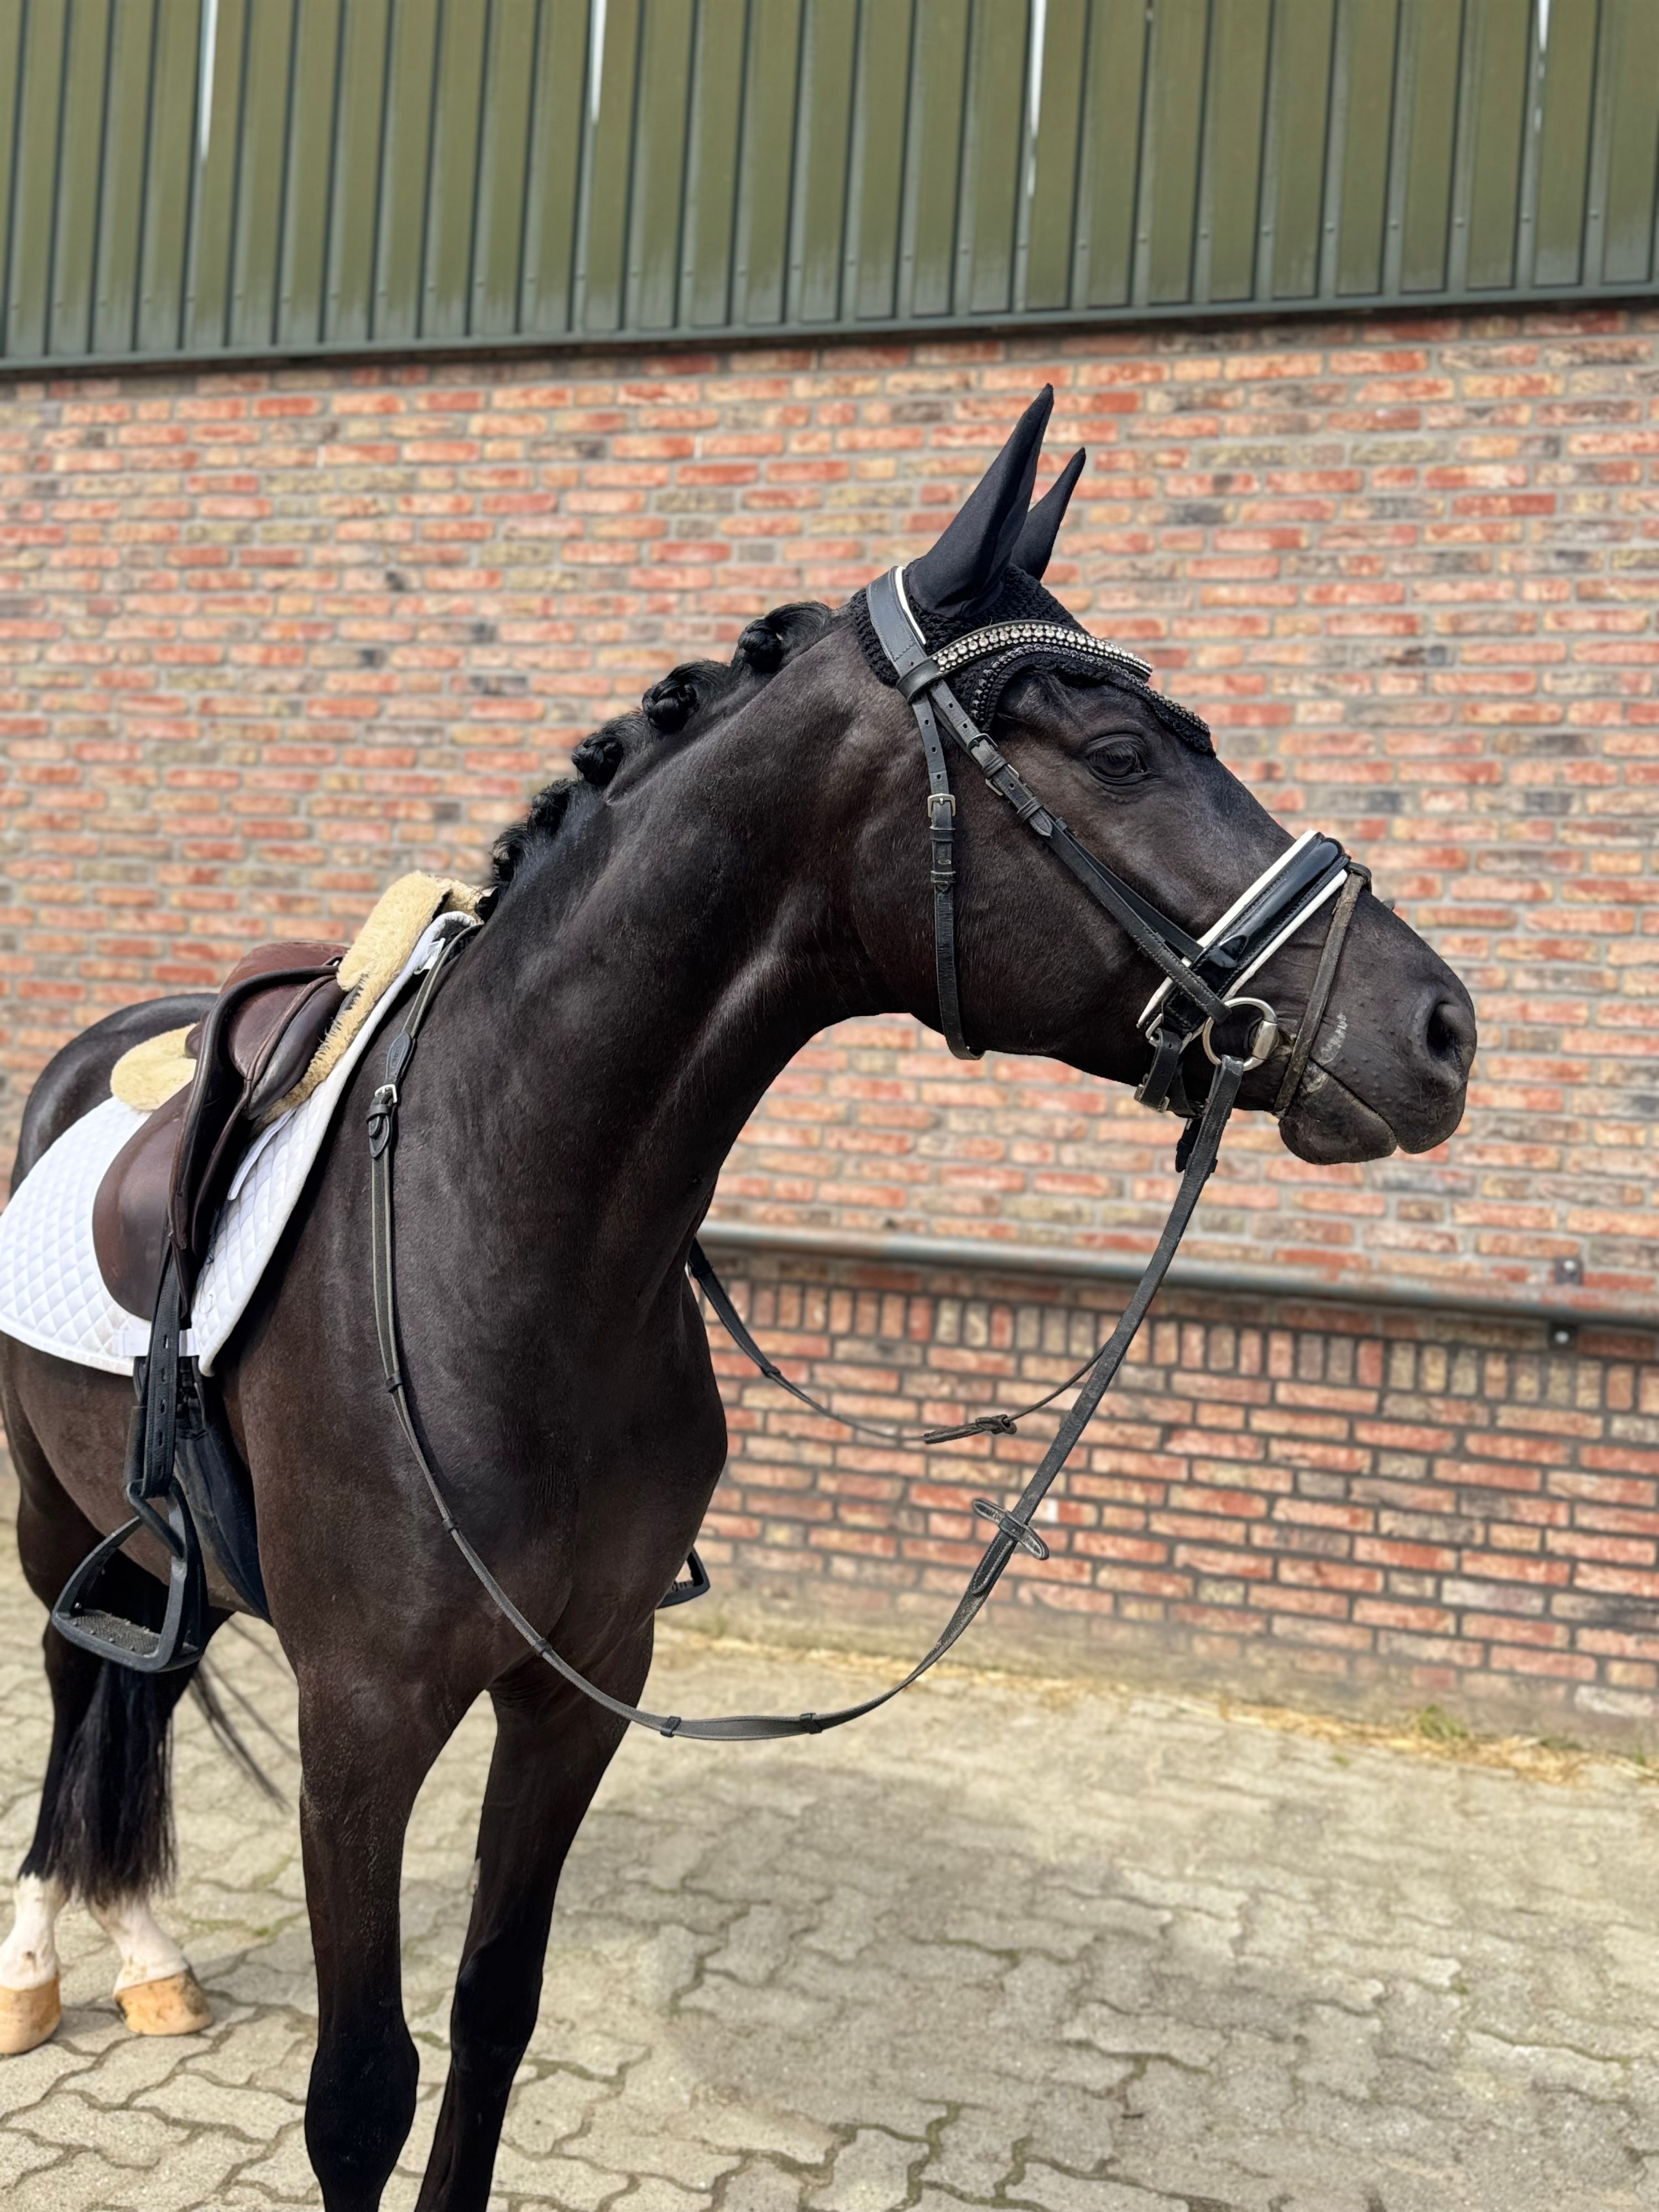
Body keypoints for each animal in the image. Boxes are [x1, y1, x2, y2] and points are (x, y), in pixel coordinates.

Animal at [0, 390, 1476, 2210]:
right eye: (1123, 753)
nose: (1438, 1026)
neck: (507, 1232)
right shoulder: (359, 1726)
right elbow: (359, 2091)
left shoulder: (577, 1686)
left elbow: (490, 2018)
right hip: (53, 1513)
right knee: (73, 1678)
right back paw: (44, 1967)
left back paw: (144, 1954)